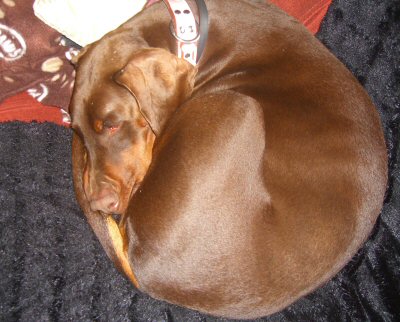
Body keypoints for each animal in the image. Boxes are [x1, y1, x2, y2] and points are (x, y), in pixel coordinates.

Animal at [69, 0, 388, 318]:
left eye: (112, 124)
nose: (99, 203)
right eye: (78, 130)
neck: (189, 34)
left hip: (233, 105)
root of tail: (145, 270)